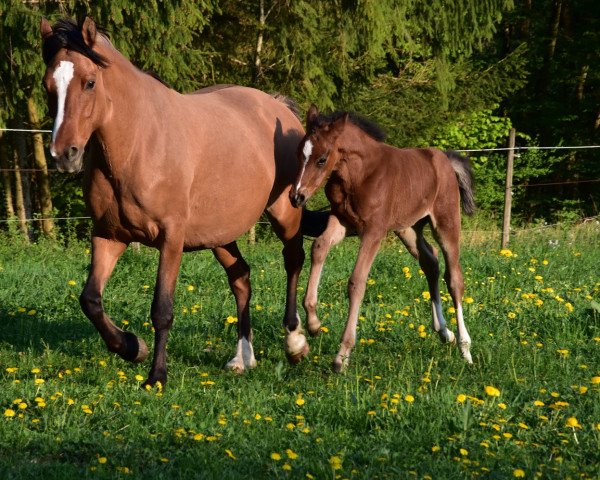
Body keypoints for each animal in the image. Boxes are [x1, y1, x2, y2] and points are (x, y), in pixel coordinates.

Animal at [39, 16, 312, 388]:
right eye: (47, 86)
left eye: (90, 82)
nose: (64, 155)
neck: (139, 142)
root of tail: (276, 104)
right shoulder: (109, 235)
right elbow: (90, 299)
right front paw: (131, 347)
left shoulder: (171, 238)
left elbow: (162, 309)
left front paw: (156, 376)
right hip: (219, 233)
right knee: (241, 278)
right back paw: (242, 358)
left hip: (285, 211)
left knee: (293, 259)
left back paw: (295, 342)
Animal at [288, 105, 476, 374]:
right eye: (298, 153)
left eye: (322, 158)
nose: (297, 197)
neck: (359, 174)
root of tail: (445, 160)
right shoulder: (341, 220)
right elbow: (319, 247)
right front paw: (313, 323)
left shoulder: (373, 231)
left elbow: (357, 282)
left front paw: (342, 355)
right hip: (407, 228)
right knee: (430, 261)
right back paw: (444, 332)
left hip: (446, 223)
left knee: (455, 278)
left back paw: (465, 347)